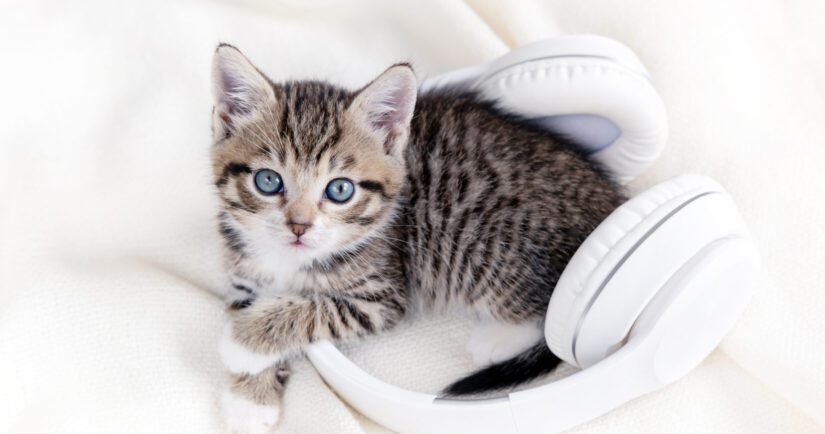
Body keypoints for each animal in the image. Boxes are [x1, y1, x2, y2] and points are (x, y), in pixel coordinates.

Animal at [212, 44, 624, 430]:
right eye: (268, 181)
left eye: (340, 190)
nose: (299, 226)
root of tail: (610, 204)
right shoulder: (243, 273)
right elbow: (256, 305)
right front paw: (249, 402)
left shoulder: (383, 297)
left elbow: (310, 309)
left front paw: (242, 343)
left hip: (482, 246)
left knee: (548, 316)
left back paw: (496, 340)